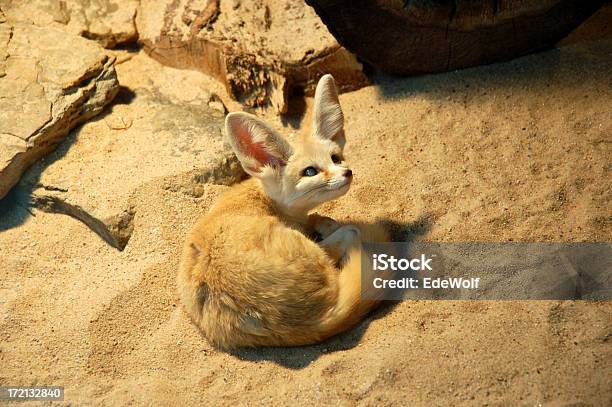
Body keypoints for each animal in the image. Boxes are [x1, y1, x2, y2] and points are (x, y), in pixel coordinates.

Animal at [177, 75, 388, 350]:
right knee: (351, 233)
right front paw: (327, 224)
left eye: (336, 157)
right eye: (310, 172)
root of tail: (318, 320)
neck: (264, 198)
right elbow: (339, 227)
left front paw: (321, 221)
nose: (347, 172)